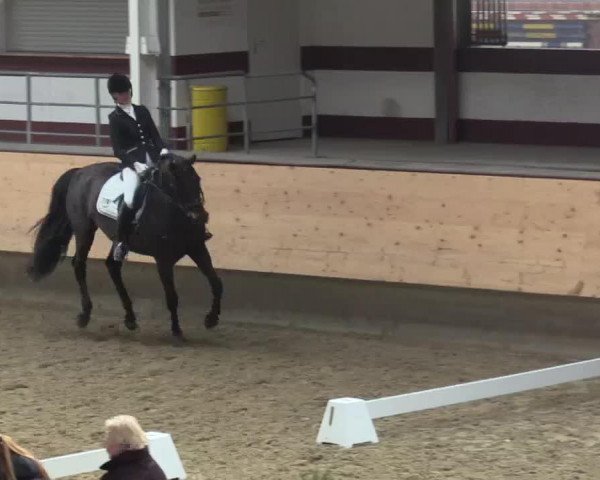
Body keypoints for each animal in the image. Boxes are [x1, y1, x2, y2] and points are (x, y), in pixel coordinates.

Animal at [26, 154, 223, 338]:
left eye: (197, 180)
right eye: (176, 183)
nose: (200, 216)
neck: (172, 212)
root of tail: (80, 172)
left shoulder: (197, 248)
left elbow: (216, 283)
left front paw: (211, 319)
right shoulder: (163, 259)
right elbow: (172, 296)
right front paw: (176, 330)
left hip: (116, 237)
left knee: (112, 266)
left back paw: (130, 318)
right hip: (84, 229)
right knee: (79, 264)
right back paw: (85, 315)